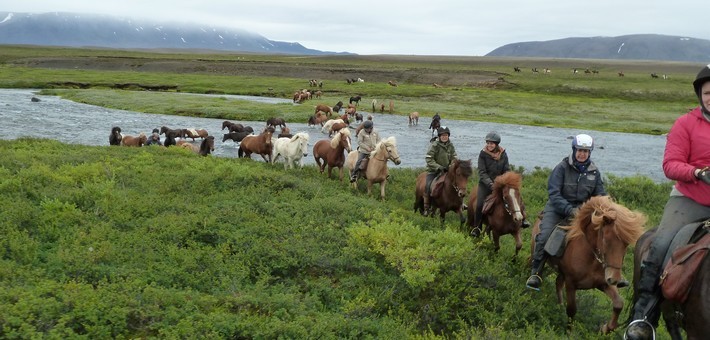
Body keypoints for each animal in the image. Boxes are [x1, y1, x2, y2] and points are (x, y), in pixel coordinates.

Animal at [532, 195, 648, 334]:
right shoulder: (571, 283)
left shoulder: (603, 284)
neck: (591, 258)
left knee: (558, 282)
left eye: (626, 244)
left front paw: (606, 328)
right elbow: (571, 310)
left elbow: (618, 304)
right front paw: (569, 332)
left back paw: (559, 306)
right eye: (606, 240)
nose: (614, 279)